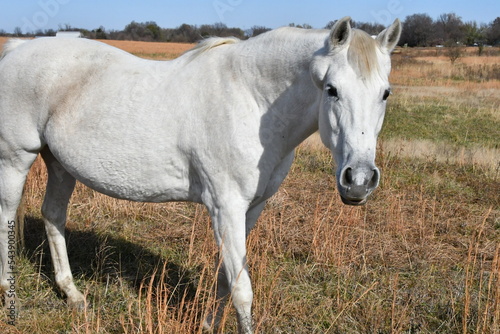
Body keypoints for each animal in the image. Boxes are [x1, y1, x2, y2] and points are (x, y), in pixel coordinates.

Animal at [0, 17, 398, 332]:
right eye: (332, 90)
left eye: (385, 93)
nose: (359, 180)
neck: (251, 100)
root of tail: (18, 49)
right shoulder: (225, 207)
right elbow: (242, 290)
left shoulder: (250, 209)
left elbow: (226, 278)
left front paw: (208, 324)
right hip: (15, 160)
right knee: (7, 217)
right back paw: (8, 295)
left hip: (59, 164)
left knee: (53, 216)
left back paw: (72, 294)